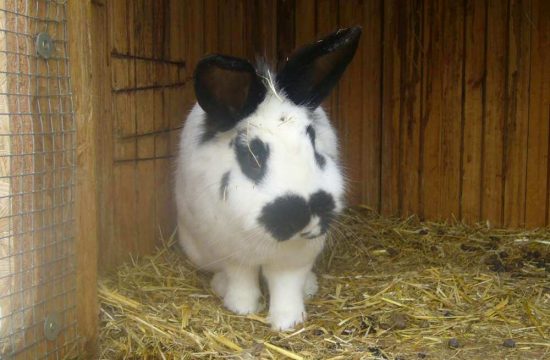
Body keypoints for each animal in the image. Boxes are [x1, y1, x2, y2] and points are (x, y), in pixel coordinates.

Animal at [177, 26, 364, 330]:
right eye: (252, 154)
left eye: (313, 140)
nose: (306, 212)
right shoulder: (233, 253)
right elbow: (241, 279)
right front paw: (241, 308)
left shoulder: (295, 258)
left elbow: (287, 286)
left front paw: (287, 322)